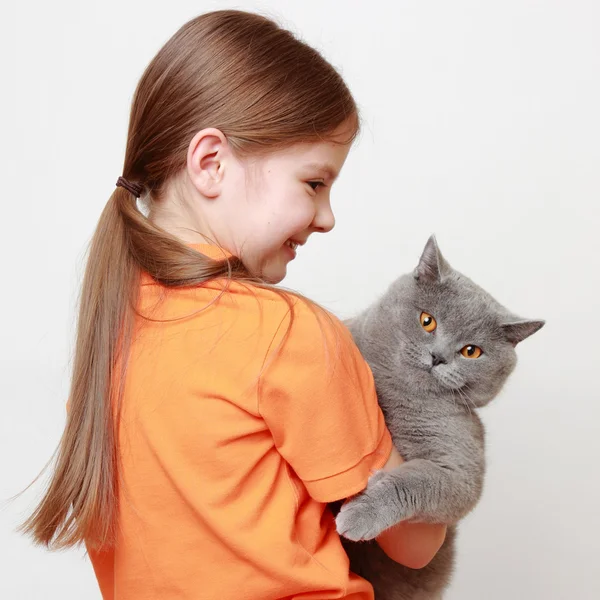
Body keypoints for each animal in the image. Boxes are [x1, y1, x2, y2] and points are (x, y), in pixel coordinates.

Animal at [336, 237, 548, 596]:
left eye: (471, 351)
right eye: (427, 321)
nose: (438, 357)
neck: (397, 391)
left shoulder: (460, 468)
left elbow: (413, 483)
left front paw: (361, 514)